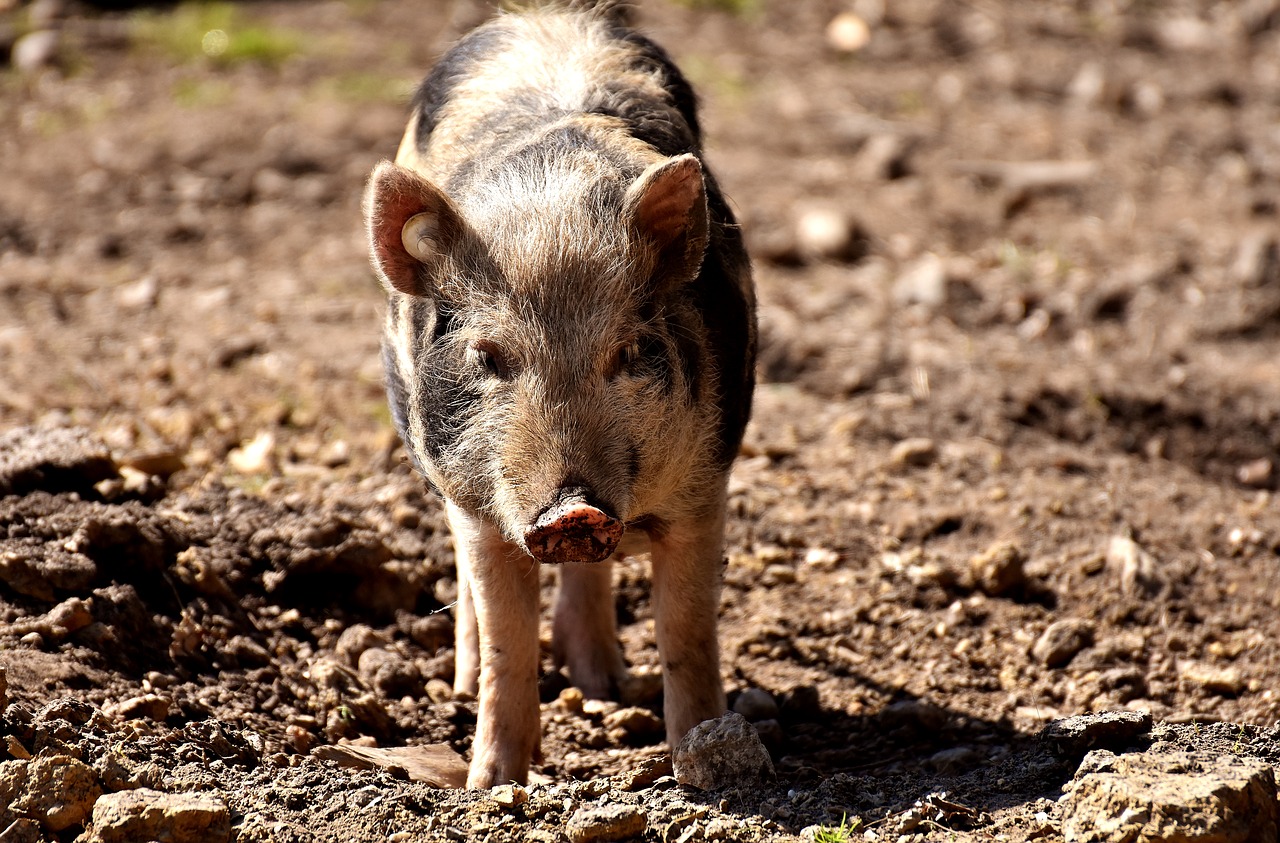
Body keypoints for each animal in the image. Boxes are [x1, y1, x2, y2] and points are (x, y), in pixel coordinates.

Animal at [360, 1, 752, 793]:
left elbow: (688, 631)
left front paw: (703, 765)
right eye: (487, 356)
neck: (552, 211)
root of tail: (546, 17)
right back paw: (464, 683)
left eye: (628, 352)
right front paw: (490, 786)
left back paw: (606, 685)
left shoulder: (707, 486)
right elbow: (507, 638)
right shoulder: (478, 507)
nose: (573, 509)